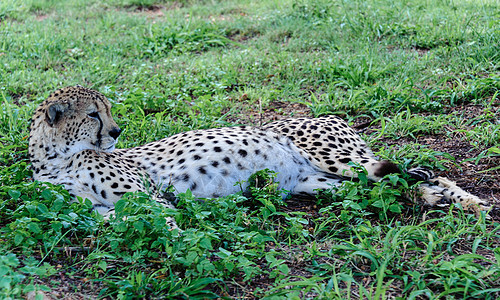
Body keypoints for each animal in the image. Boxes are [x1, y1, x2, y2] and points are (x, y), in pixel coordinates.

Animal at [28, 86, 488, 230]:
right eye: (93, 114)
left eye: (105, 110)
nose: (116, 132)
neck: (54, 160)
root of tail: (329, 114)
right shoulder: (92, 212)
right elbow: (109, 218)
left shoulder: (151, 198)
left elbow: (167, 222)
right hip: (321, 182)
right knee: (390, 187)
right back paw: (435, 200)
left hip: (338, 157)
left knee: (421, 174)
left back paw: (469, 201)